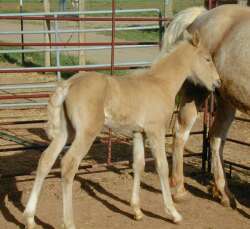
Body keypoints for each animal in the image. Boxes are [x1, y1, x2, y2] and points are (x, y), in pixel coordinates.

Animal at [23, 32, 219, 229]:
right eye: (207, 59)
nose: (217, 83)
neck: (160, 83)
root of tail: (68, 84)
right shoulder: (156, 130)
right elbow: (162, 166)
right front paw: (173, 213)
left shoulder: (139, 132)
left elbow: (139, 164)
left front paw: (137, 211)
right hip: (86, 133)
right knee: (69, 164)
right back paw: (69, 223)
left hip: (66, 132)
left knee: (46, 160)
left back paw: (30, 219)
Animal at [162, 4, 250, 208]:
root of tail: (202, 15)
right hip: (196, 91)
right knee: (181, 132)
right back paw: (179, 190)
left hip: (226, 99)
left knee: (216, 138)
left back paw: (225, 194)